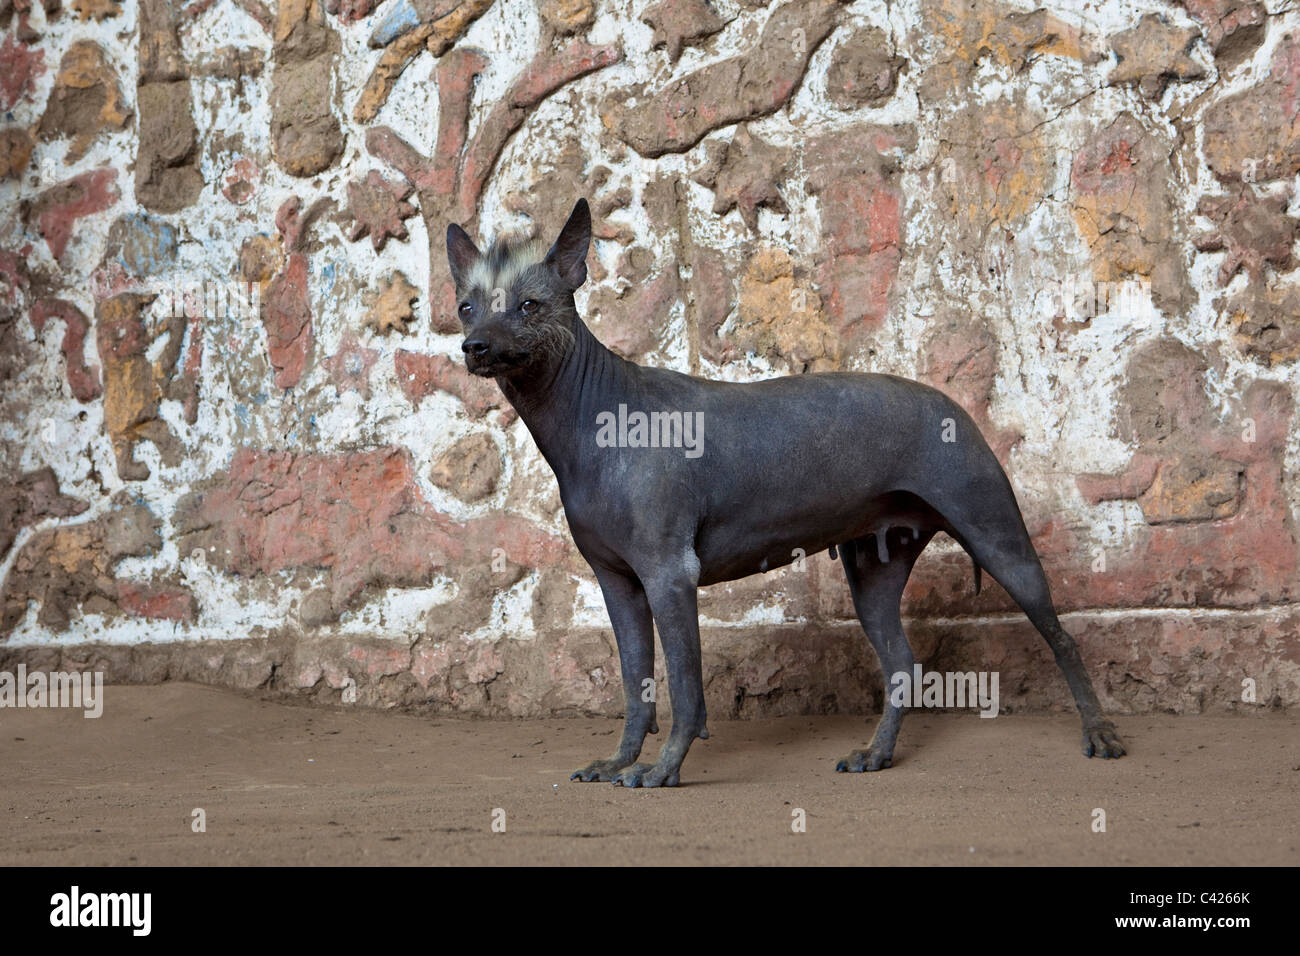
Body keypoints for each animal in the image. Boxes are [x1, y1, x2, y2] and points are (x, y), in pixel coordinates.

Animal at [447, 197, 1128, 790]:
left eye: (529, 305)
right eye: (467, 307)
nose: (474, 347)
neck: (594, 416)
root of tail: (951, 403)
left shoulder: (670, 576)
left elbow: (685, 690)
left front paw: (663, 769)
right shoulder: (620, 586)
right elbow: (635, 685)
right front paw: (619, 761)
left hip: (999, 537)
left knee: (1062, 638)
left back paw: (1099, 733)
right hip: (874, 569)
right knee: (902, 666)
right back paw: (876, 754)